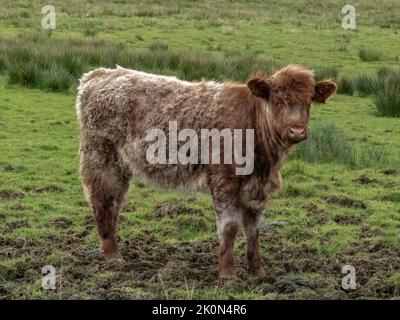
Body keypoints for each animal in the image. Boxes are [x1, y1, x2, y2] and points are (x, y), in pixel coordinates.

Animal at [76, 65, 336, 278]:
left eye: (308, 101)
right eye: (278, 99)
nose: (296, 130)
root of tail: (100, 74)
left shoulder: (257, 189)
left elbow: (253, 229)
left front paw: (258, 271)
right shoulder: (224, 180)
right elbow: (229, 227)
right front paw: (227, 273)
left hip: (121, 166)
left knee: (114, 203)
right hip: (102, 158)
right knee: (101, 200)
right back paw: (113, 256)